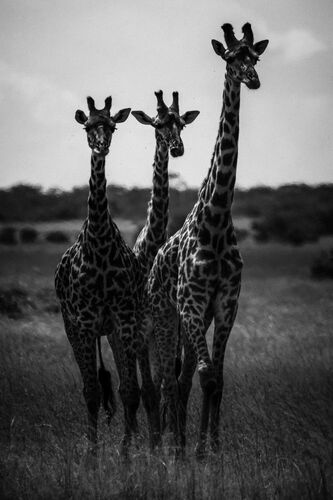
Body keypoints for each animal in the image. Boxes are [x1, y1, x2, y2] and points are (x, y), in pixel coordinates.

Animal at [54, 92, 198, 452]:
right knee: (120, 386)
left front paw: (156, 442)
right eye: (158, 125)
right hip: (88, 327)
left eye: (181, 123)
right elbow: (131, 389)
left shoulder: (142, 325)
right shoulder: (119, 325)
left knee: (144, 385)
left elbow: (152, 386)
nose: (176, 147)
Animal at [147, 23, 268, 456]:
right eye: (231, 57)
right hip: (167, 315)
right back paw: (174, 446)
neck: (215, 219)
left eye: (256, 56)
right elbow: (203, 375)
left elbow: (218, 377)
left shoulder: (227, 301)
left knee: (184, 377)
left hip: (187, 319)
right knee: (172, 378)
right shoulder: (194, 302)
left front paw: (212, 448)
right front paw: (196, 451)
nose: (253, 79)